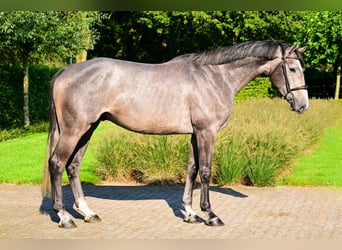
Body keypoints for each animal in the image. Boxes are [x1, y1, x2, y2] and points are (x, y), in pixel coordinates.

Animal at [41, 40, 308, 229]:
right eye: (292, 68)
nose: (303, 105)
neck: (215, 77)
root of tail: (66, 70)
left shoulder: (195, 133)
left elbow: (191, 169)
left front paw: (190, 213)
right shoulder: (207, 132)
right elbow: (206, 170)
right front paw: (210, 215)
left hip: (88, 129)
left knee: (73, 166)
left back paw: (87, 213)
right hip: (74, 130)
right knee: (57, 164)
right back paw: (64, 217)